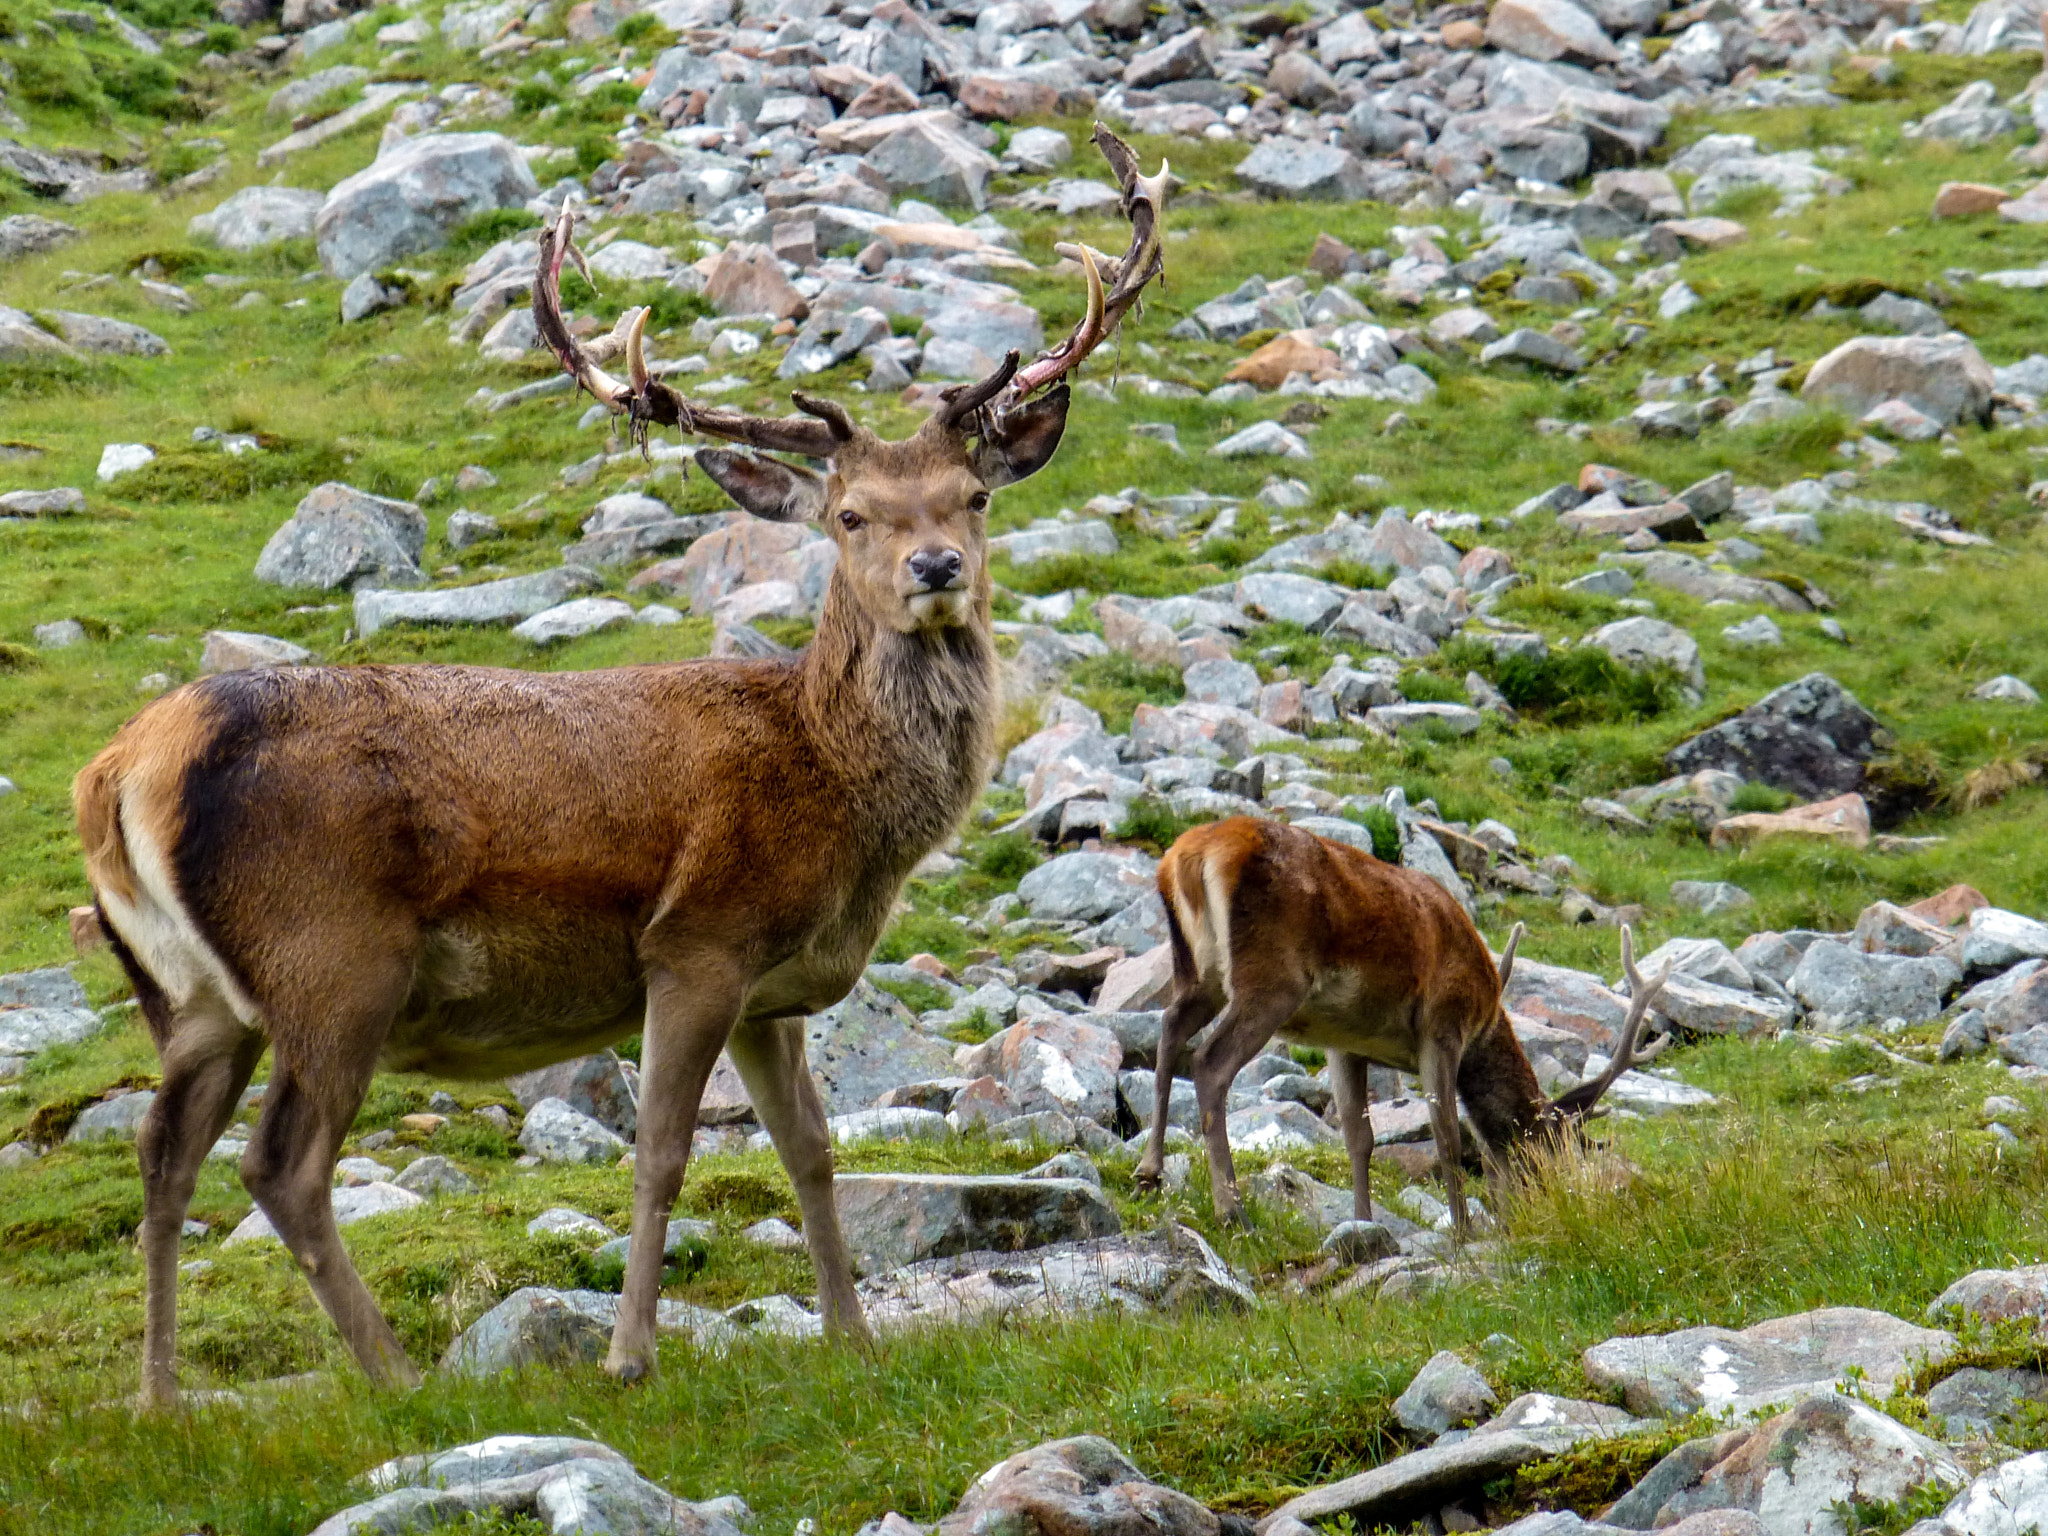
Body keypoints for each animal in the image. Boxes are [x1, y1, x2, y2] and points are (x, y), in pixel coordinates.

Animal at [72, 129, 1171, 1409]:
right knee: (278, 1165)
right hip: (331, 955)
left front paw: (853, 1338)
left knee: (162, 1153)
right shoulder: (696, 939)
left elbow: (811, 1150)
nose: (936, 567)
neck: (836, 798)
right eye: (850, 515)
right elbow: (659, 1152)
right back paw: (400, 1379)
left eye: (974, 496)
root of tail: (122, 772)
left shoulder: (770, 990)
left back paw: (160, 1400)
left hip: (188, 994)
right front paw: (629, 1354)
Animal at [1138, 819, 1662, 1236]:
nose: (1539, 1216)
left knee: (1169, 1031)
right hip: (1271, 978)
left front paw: (1363, 1225)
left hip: (1197, 972)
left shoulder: (1342, 1041)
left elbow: (1359, 1139)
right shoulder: (1442, 1027)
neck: (1484, 1024)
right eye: (1551, 1154)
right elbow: (1448, 1137)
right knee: (1209, 1062)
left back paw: (1150, 1171)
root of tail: (1190, 855)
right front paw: (1463, 1234)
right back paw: (1232, 1211)